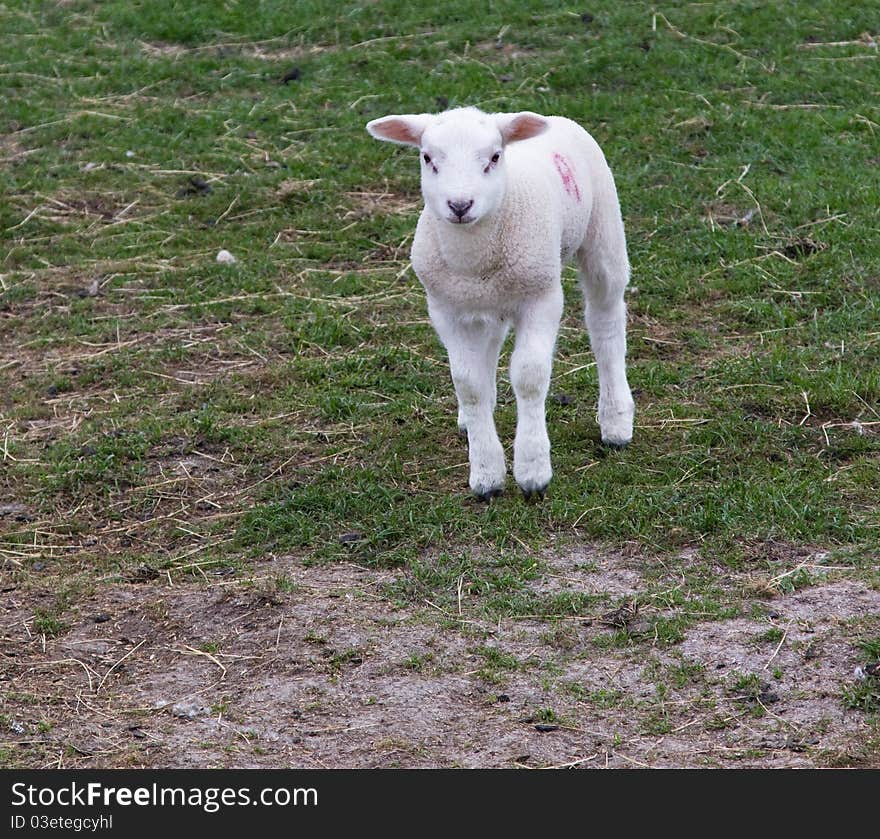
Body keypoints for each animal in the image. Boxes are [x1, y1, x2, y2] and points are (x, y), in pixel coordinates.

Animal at [364, 105, 632, 498]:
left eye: (493, 157)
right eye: (427, 158)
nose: (460, 205)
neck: (474, 256)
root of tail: (556, 118)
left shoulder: (541, 298)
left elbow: (530, 377)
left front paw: (533, 469)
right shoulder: (446, 309)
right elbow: (469, 383)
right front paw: (486, 472)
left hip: (603, 230)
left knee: (606, 322)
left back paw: (616, 421)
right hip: (485, 303)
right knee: (489, 347)